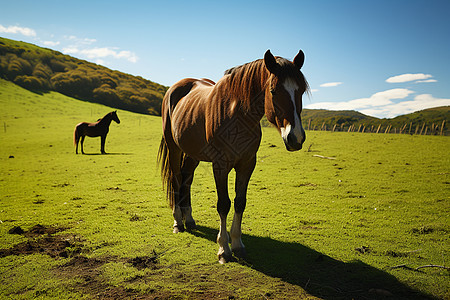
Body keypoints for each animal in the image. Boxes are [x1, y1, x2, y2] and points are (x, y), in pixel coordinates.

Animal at [158, 50, 310, 264]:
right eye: (273, 91)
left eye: (301, 91)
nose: (295, 137)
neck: (238, 114)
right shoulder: (220, 165)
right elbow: (224, 204)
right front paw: (223, 248)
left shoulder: (247, 164)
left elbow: (240, 202)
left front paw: (237, 244)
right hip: (174, 148)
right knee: (177, 179)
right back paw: (178, 222)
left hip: (192, 153)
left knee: (187, 179)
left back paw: (189, 219)